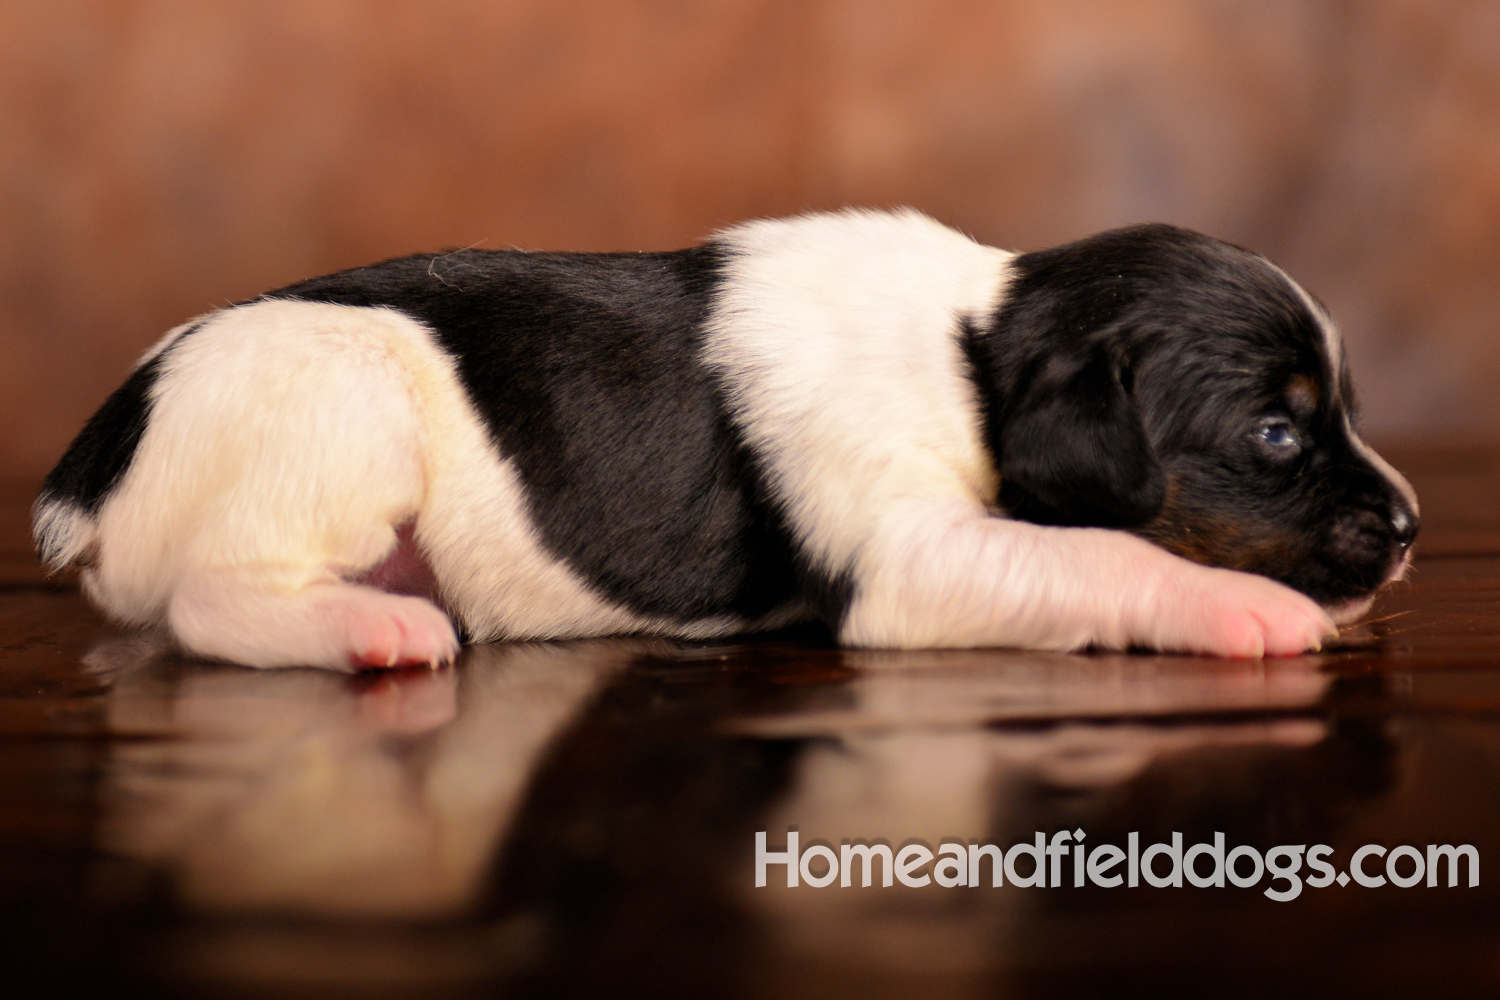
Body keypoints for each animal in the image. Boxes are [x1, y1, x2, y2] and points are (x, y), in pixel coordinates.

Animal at [32, 206, 1416, 668]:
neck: (973, 353)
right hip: (346, 400)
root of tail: (90, 470)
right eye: (1277, 433)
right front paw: (1246, 609)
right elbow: (1105, 552)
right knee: (214, 599)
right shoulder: (915, 558)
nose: (1411, 528)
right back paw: (372, 629)